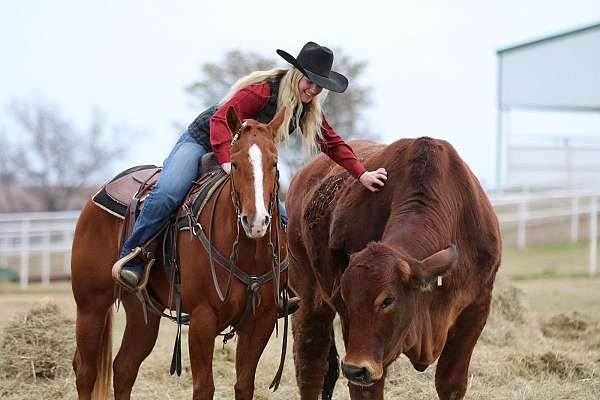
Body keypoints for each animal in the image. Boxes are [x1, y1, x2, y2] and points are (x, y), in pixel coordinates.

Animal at [70, 107, 286, 400]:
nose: (256, 221)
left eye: (274, 164)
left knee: (124, 367)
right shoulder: (203, 319)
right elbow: (204, 388)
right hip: (91, 304)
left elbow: (244, 386)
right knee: (85, 370)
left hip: (141, 310)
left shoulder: (260, 322)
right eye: (235, 164)